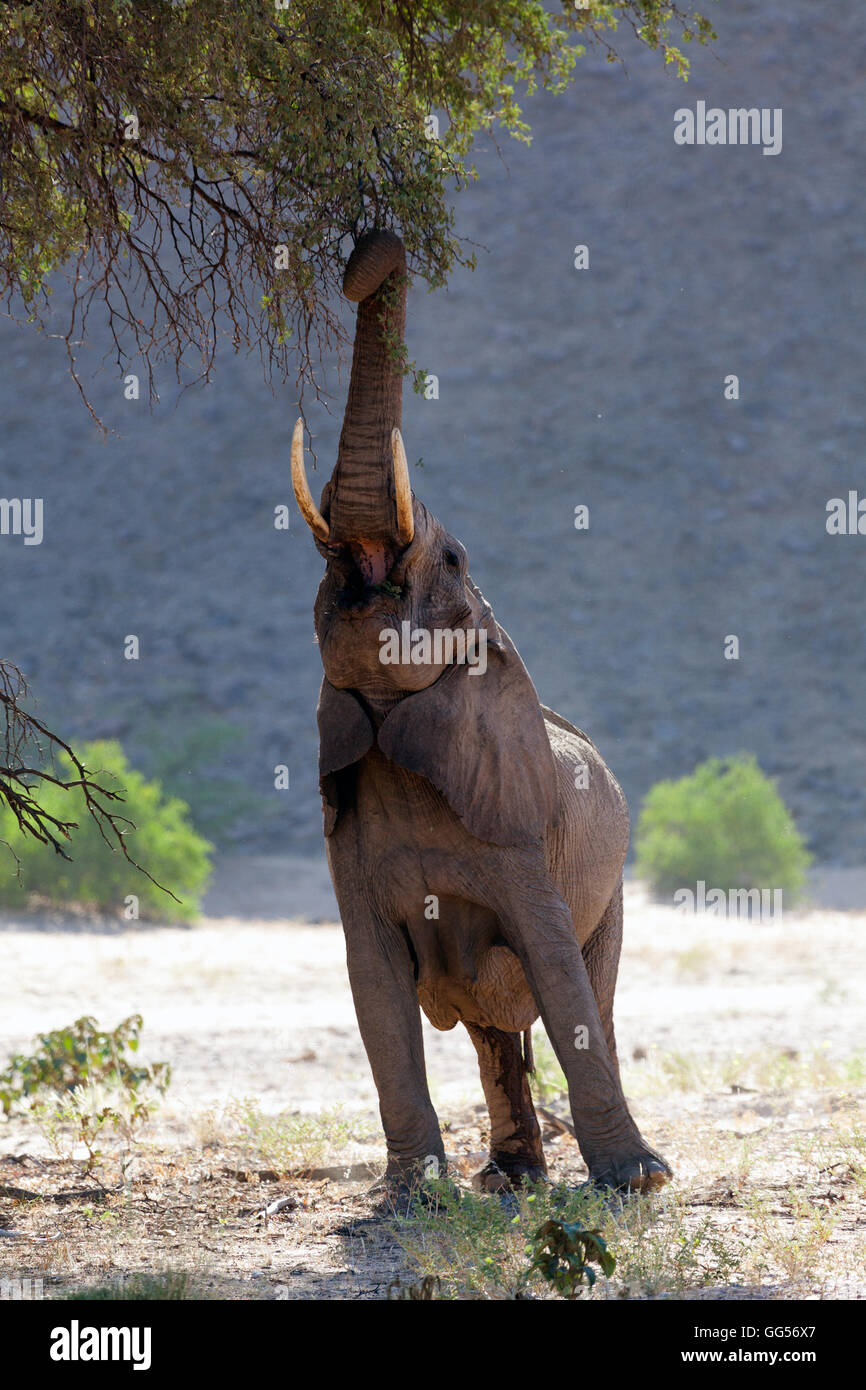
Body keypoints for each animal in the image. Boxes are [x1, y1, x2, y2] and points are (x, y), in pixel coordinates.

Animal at [291, 227, 670, 1195]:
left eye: (454, 558)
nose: (364, 252)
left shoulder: (522, 828)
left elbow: (556, 973)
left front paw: (637, 1184)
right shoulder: (346, 836)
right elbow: (375, 986)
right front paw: (410, 1198)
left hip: (611, 887)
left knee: (587, 993)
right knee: (494, 1024)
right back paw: (508, 1180)